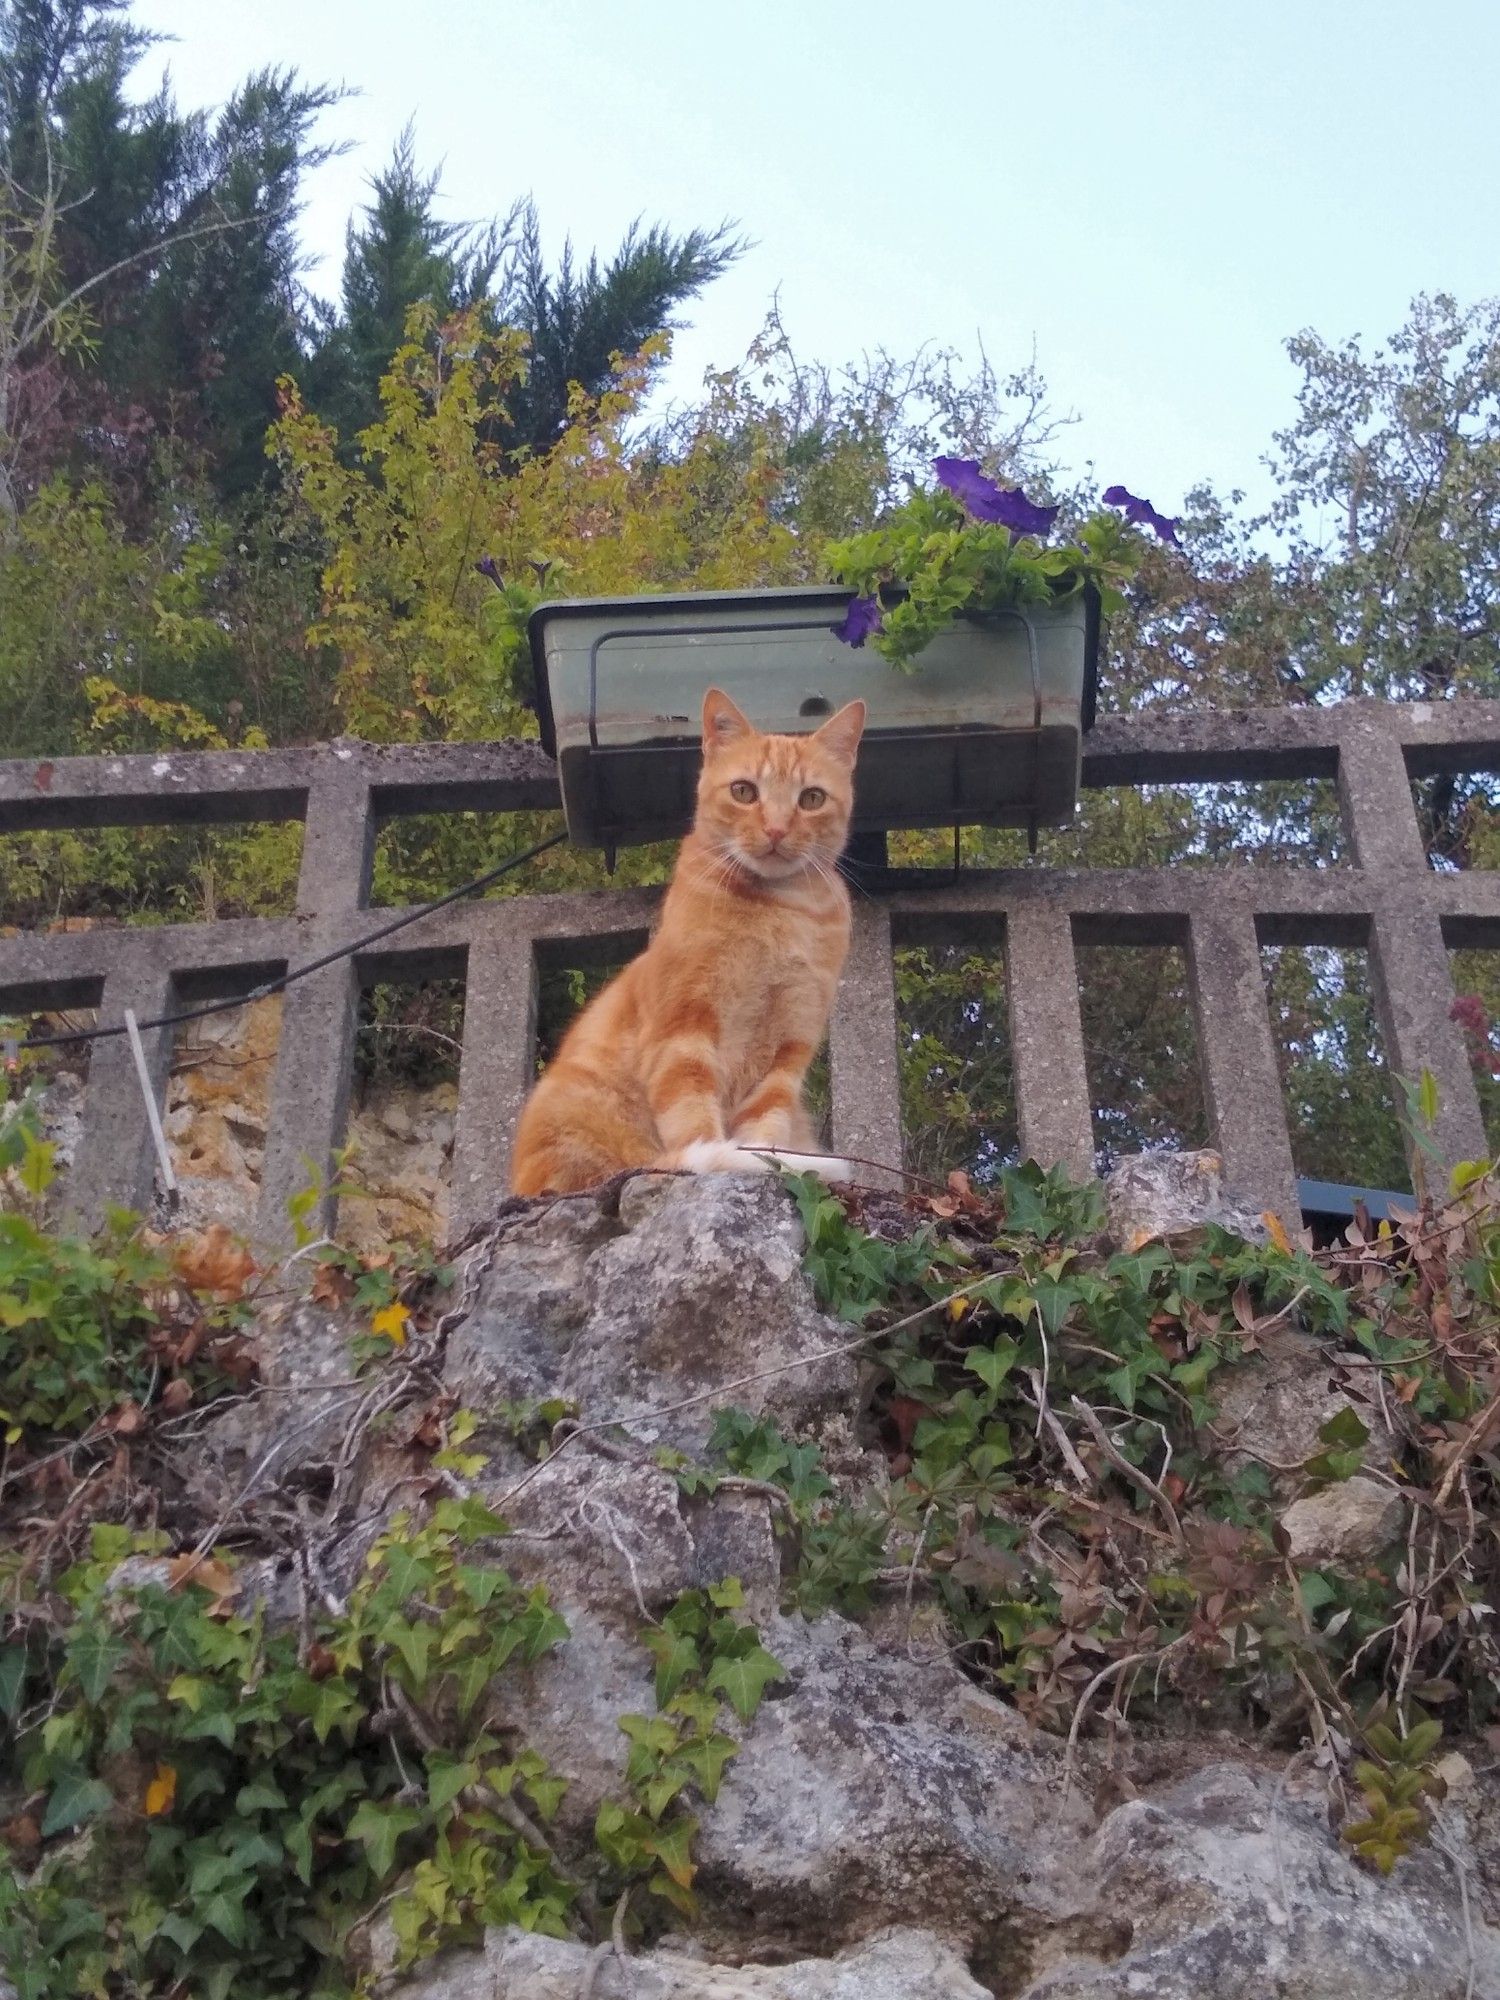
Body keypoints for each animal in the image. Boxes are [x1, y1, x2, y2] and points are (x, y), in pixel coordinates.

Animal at [512, 688, 868, 1184]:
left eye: (811, 798)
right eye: (744, 791)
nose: (777, 829)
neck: (780, 908)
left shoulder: (786, 1054)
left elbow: (766, 1126)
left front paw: (770, 1161)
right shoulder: (684, 1026)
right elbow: (693, 1117)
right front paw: (724, 1154)